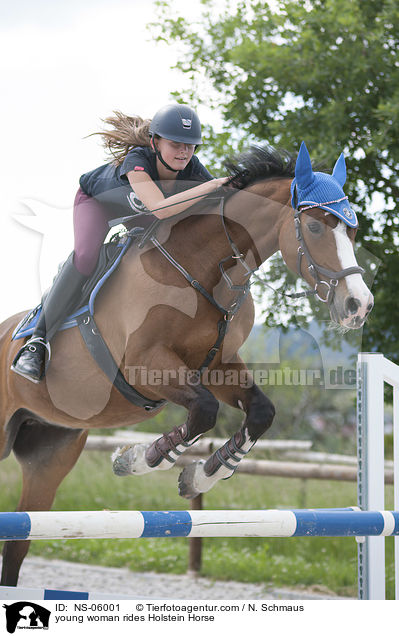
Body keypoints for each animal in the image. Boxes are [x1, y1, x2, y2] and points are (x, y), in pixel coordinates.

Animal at [0, 142, 376, 584]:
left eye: (352, 231)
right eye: (315, 228)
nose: (359, 305)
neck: (202, 268)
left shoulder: (218, 367)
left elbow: (258, 412)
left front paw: (202, 473)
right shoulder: (144, 365)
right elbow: (203, 411)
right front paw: (133, 460)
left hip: (50, 450)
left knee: (19, 541)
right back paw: (31, 357)